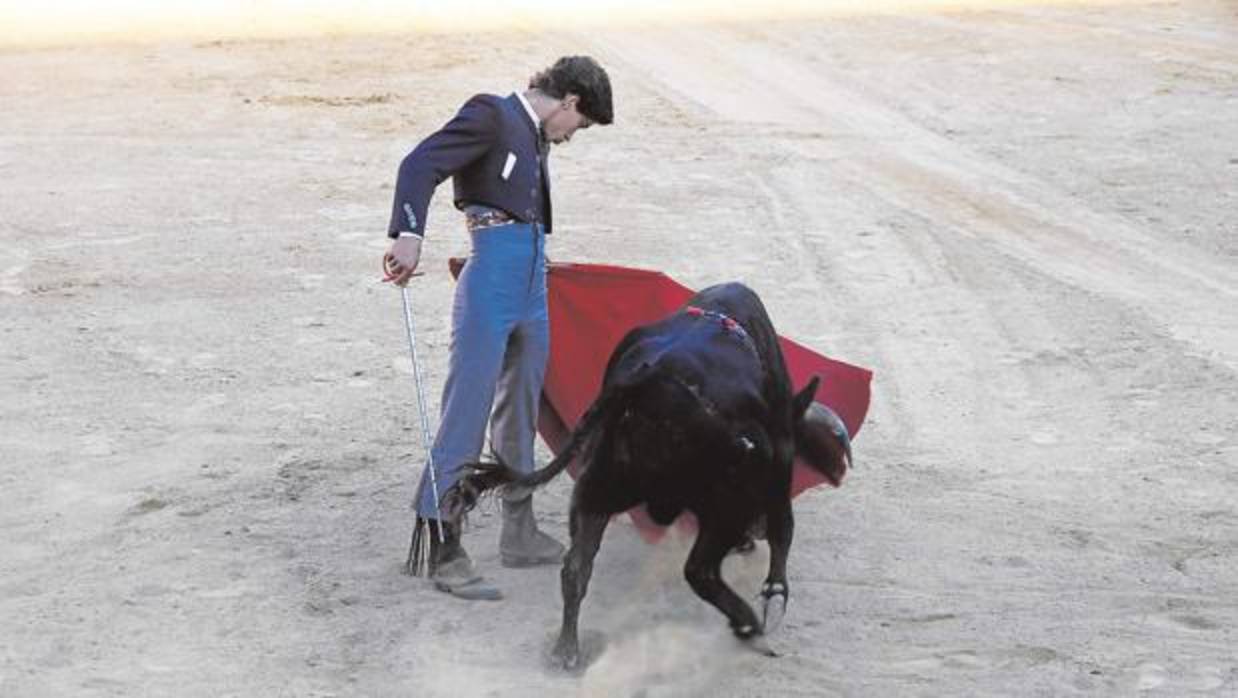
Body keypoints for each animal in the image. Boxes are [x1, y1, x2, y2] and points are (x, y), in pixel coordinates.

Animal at [443, 280, 851, 668]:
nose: (753, 532)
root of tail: (644, 385)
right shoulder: (777, 457)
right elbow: (784, 528)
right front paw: (774, 598)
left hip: (601, 486)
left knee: (575, 568)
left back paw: (566, 650)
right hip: (723, 504)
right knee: (700, 570)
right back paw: (750, 626)